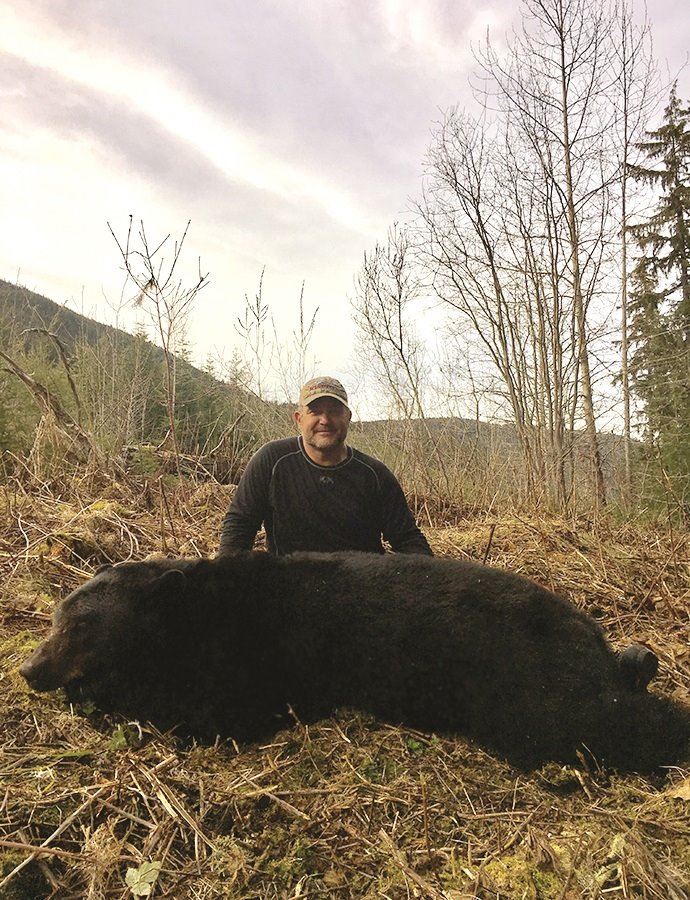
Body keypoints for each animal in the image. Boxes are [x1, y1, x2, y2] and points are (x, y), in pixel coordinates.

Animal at [19, 552, 690, 771]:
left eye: (84, 625)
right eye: (54, 615)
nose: (30, 669)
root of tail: (589, 630)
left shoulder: (251, 670)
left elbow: (201, 715)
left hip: (525, 687)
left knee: (607, 722)